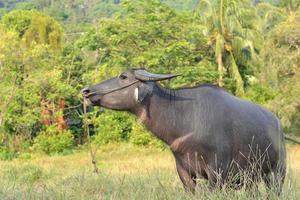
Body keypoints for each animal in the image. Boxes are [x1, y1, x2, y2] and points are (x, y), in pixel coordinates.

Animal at [81, 69, 286, 194]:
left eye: (123, 76)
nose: (86, 91)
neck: (186, 119)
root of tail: (277, 122)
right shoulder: (184, 172)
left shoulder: (217, 172)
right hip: (253, 178)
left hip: (277, 173)